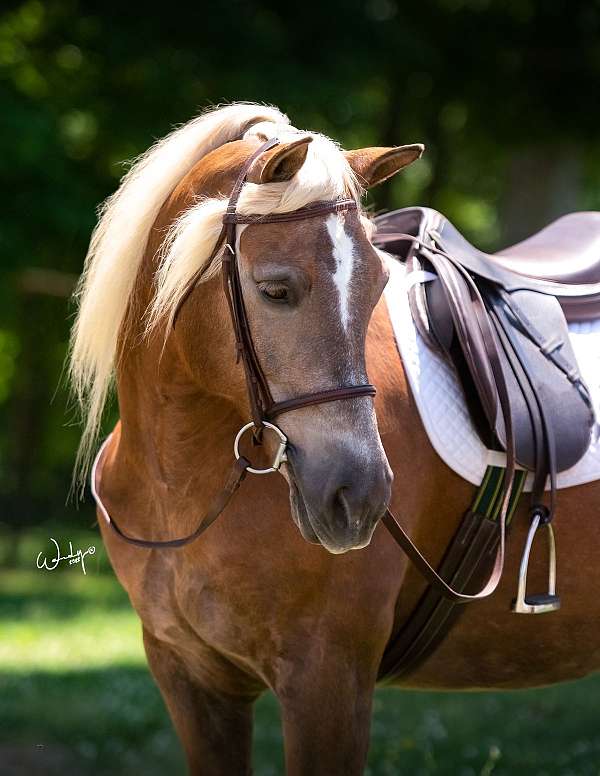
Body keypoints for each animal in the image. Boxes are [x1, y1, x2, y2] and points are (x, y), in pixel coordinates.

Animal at [68, 104, 600, 776]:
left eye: (375, 287)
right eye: (275, 289)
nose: (360, 496)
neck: (180, 486)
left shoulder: (327, 676)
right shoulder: (190, 679)